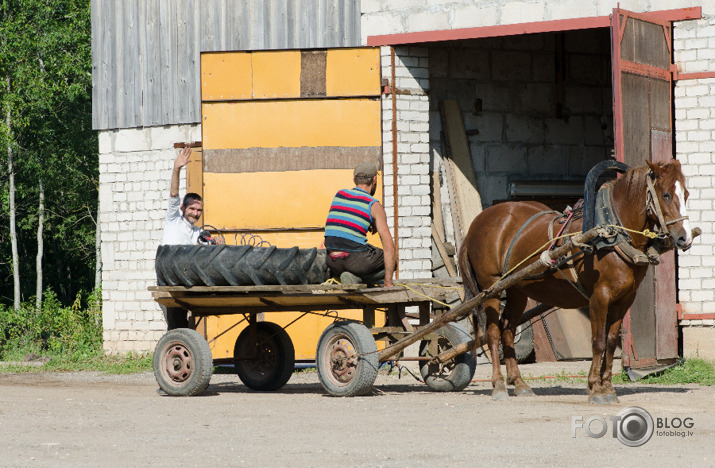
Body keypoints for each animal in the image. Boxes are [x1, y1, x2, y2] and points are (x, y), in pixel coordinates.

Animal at [458, 160, 692, 402]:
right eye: (665, 195)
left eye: (686, 194)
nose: (685, 237)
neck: (612, 232)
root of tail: (479, 221)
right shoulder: (600, 297)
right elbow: (598, 342)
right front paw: (596, 388)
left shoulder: (624, 299)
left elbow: (610, 342)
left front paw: (608, 387)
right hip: (491, 289)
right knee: (493, 333)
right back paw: (498, 385)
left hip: (517, 290)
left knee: (508, 330)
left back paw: (520, 383)